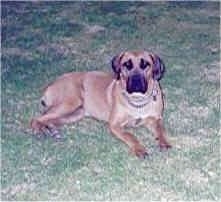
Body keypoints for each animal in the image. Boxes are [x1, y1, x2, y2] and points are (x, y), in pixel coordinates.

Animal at [30, 50, 171, 158]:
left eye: (145, 64)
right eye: (127, 65)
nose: (136, 82)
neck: (138, 100)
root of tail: (51, 85)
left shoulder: (154, 119)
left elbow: (161, 130)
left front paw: (164, 142)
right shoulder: (114, 124)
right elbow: (130, 136)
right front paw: (139, 149)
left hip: (76, 113)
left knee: (51, 118)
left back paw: (52, 129)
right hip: (69, 102)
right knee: (37, 118)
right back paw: (39, 130)